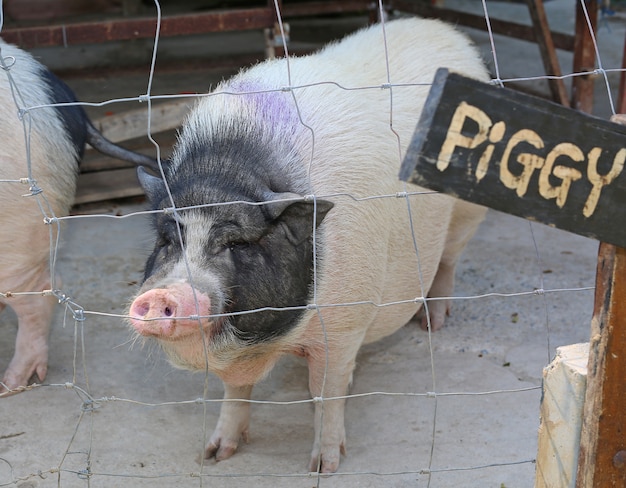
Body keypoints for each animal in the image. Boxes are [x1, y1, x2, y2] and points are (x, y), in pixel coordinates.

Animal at [127, 16, 488, 472]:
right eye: (167, 239)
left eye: (238, 242)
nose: (163, 293)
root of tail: (448, 32)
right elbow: (236, 391)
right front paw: (213, 455)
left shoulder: (346, 322)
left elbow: (327, 393)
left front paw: (323, 466)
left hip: (467, 214)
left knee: (449, 262)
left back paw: (432, 323)